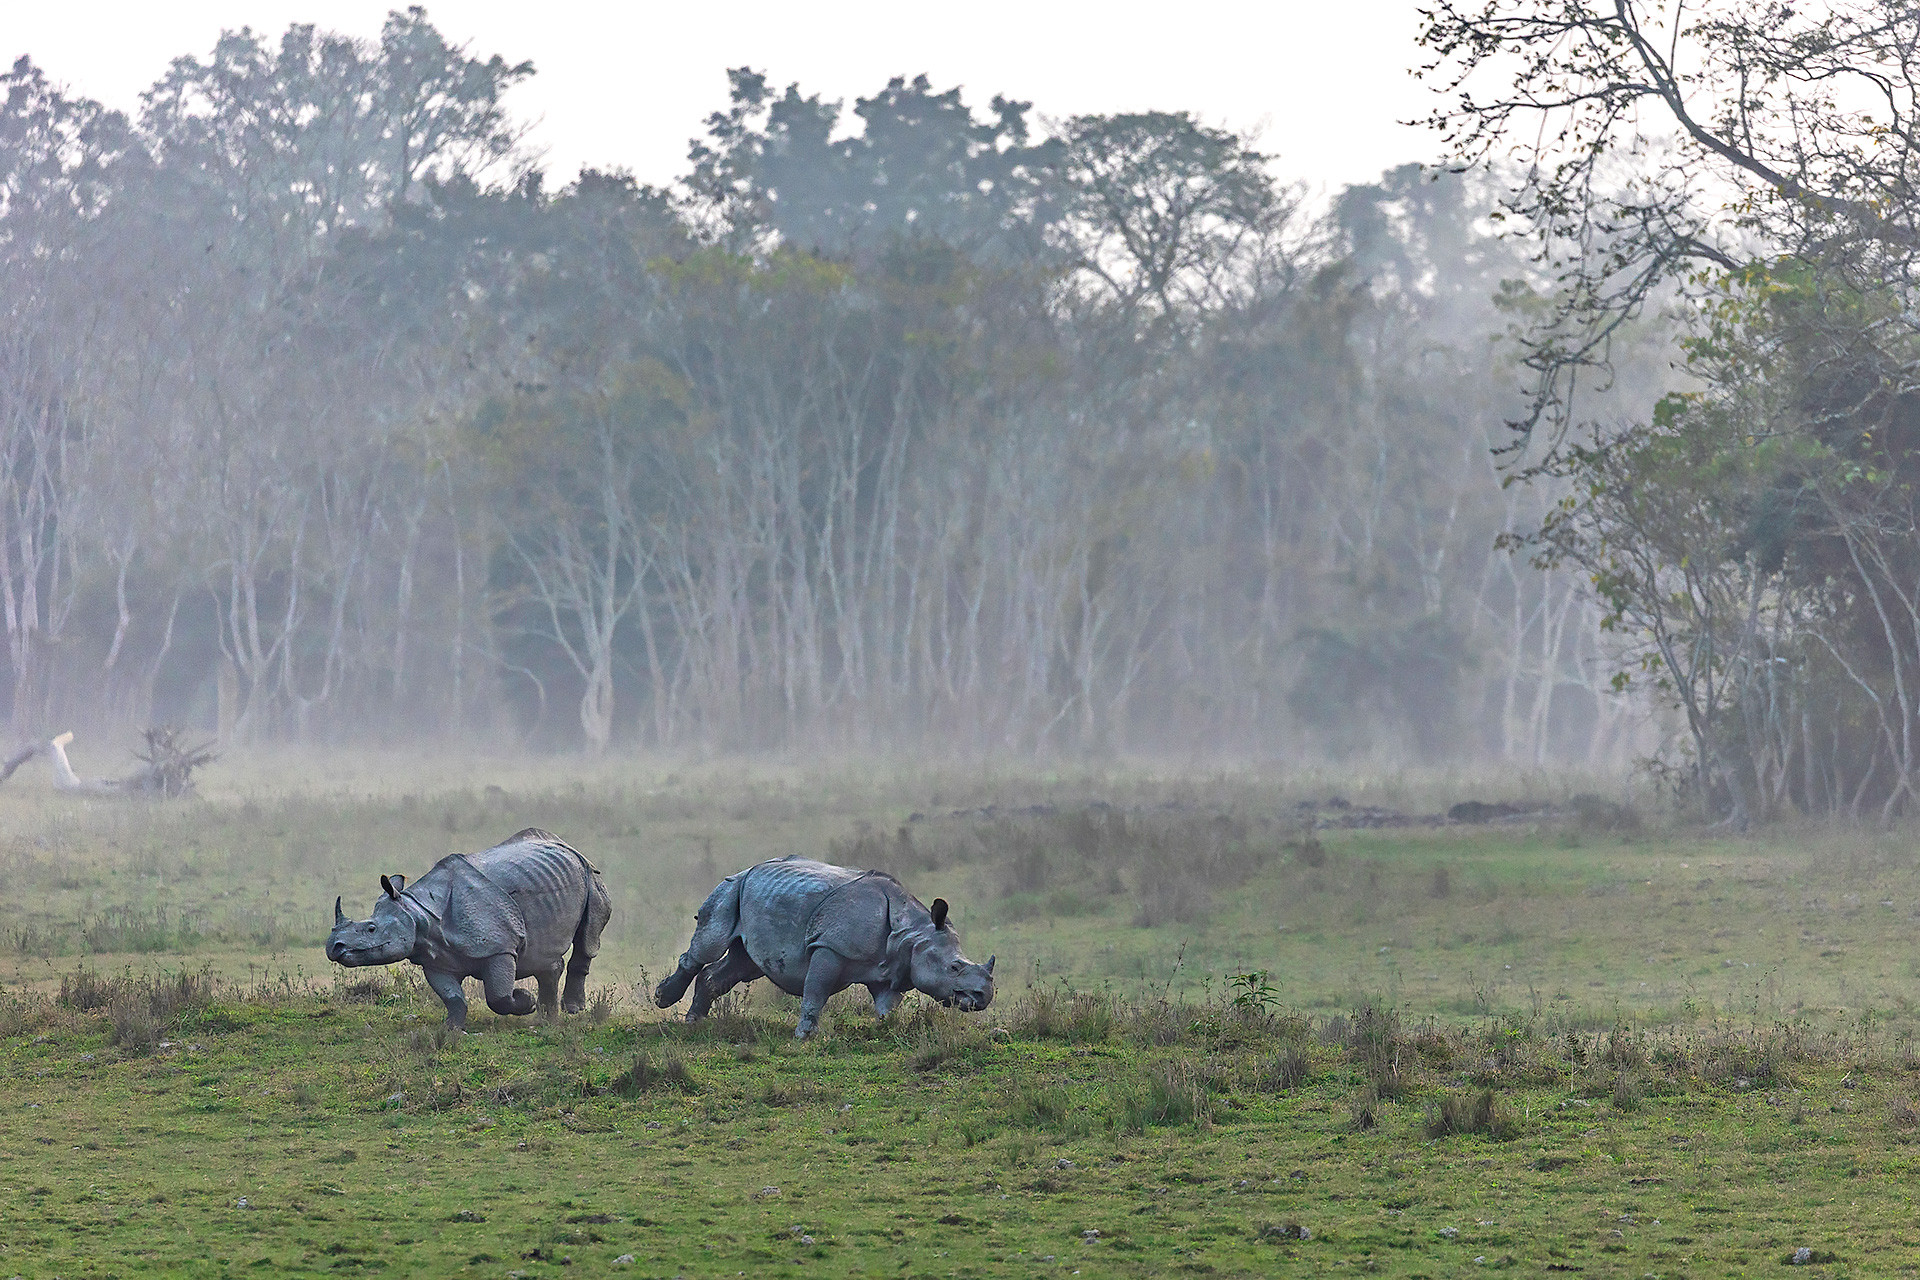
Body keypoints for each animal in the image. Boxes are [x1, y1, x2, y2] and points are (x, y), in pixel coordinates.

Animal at [326, 828, 612, 1031]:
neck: (418, 913)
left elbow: (498, 997)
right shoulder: (434, 958)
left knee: (587, 938)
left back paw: (570, 1010)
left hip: (589, 874)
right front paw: (451, 1029)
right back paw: (547, 1018)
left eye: (371, 929)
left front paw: (524, 1000)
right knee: (543, 954)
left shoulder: (500, 947)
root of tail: (568, 846)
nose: (333, 947)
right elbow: (453, 997)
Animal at [653, 856, 994, 1038]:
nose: (984, 997)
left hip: (754, 896)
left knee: (742, 964)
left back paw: (694, 1021)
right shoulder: (830, 947)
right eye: (954, 967)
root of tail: (747, 868)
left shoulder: (893, 968)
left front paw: (887, 1030)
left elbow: (887, 1006)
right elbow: (816, 989)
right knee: (708, 947)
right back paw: (663, 999)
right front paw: (805, 1036)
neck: (911, 932)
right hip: (731, 888)